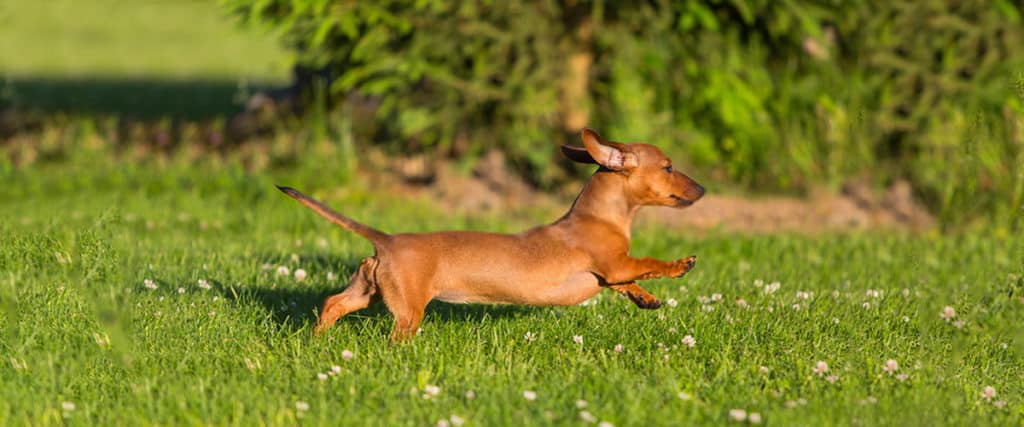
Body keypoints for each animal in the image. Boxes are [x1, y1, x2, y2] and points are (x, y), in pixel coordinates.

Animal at [278, 127, 704, 342]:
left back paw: (316, 339)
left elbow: (628, 282)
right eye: (668, 167)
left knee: (333, 303)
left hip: (367, 289)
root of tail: (388, 240)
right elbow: (647, 263)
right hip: (409, 309)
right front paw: (680, 264)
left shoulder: (611, 273)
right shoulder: (614, 263)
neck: (601, 216)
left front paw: (646, 299)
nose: (702, 190)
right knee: (395, 334)